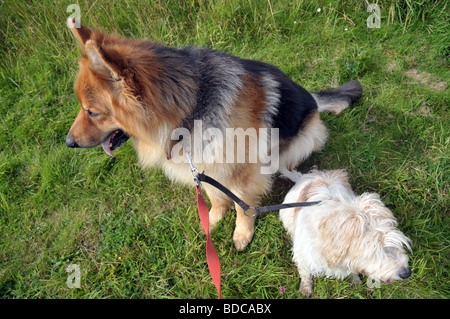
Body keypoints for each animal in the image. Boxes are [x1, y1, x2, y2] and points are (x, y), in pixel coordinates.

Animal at [280, 169, 414, 298]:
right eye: (373, 251)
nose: (407, 273)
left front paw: (355, 281)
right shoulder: (304, 255)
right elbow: (305, 271)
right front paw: (305, 287)